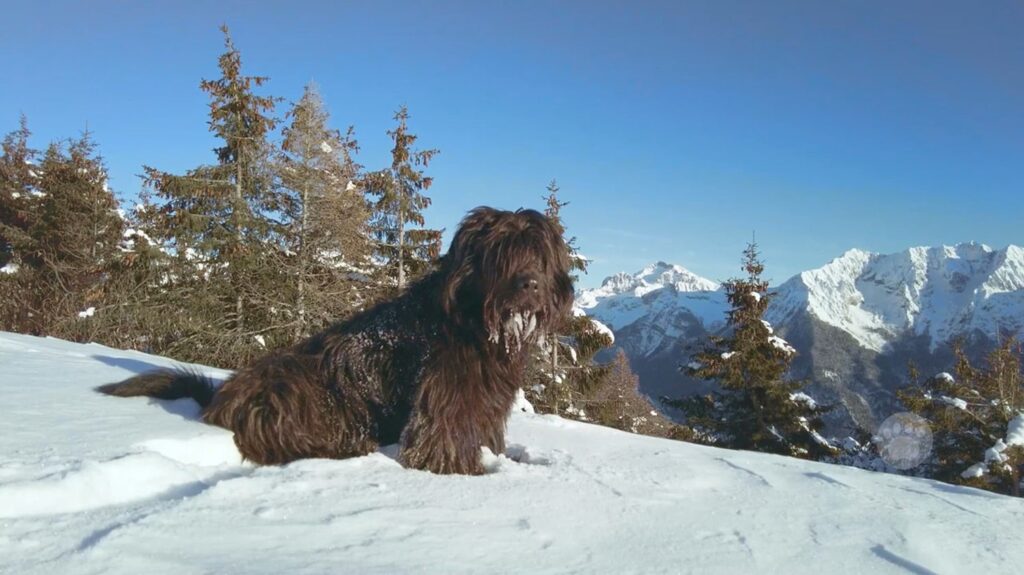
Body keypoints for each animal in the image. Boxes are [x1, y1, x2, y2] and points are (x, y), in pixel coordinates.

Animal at [96, 205, 573, 474]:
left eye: (540, 257)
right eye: (501, 254)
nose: (530, 285)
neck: (475, 323)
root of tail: (220, 397)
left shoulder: (486, 400)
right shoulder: (445, 400)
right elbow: (440, 444)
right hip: (296, 388)